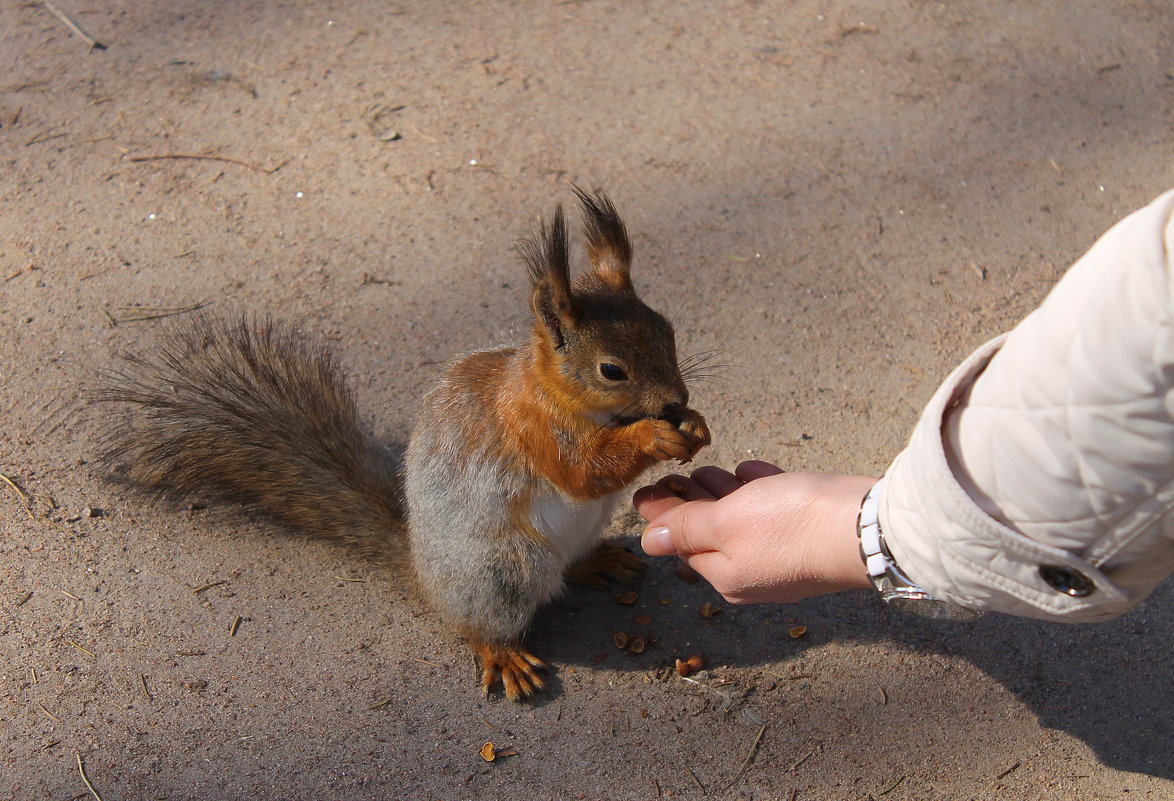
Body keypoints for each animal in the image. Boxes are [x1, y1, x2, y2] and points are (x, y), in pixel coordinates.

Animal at [100, 189, 709, 699]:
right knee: (486, 620)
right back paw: (503, 653)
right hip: (503, 572)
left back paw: (598, 561)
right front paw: (655, 433)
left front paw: (696, 425)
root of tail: (420, 570)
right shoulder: (534, 431)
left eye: (667, 329)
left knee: (566, 573)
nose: (676, 399)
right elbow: (584, 471)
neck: (558, 392)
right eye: (611, 370)